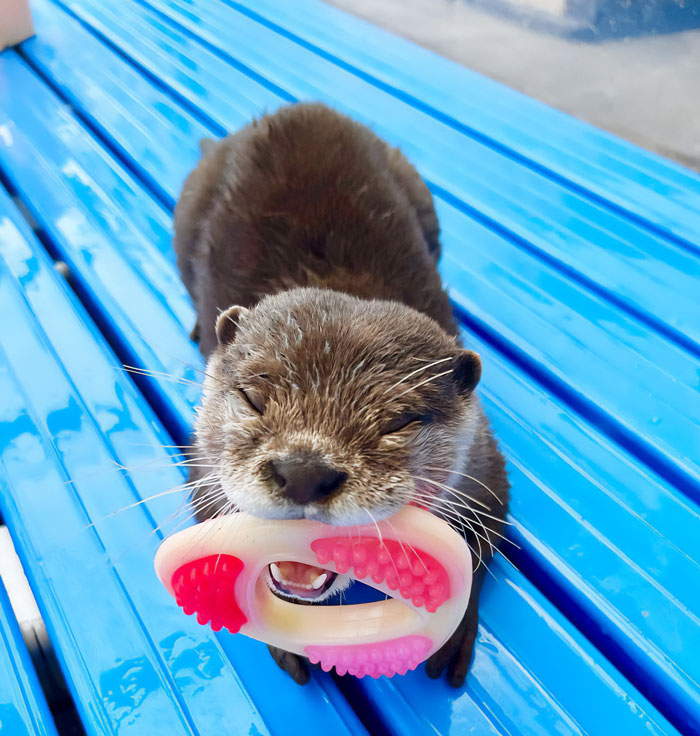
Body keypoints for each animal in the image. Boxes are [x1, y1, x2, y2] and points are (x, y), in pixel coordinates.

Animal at [174, 102, 509, 687]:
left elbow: (484, 538)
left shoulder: (485, 467)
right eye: (253, 397)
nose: (304, 471)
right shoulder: (201, 465)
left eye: (399, 421)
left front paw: (453, 633)